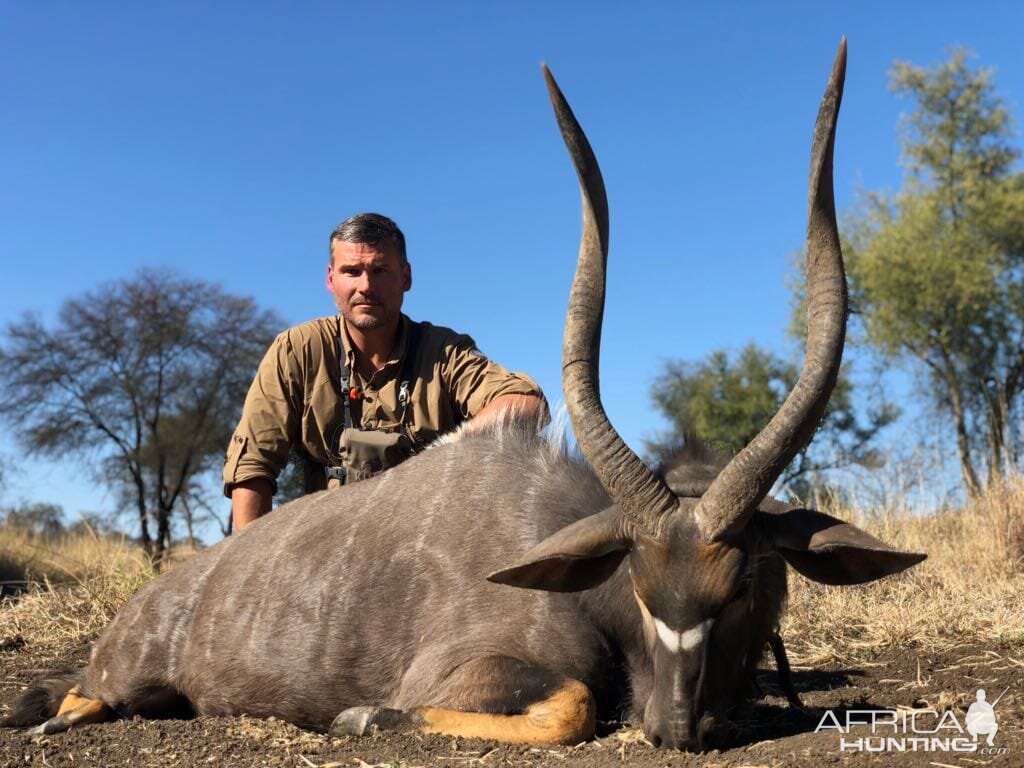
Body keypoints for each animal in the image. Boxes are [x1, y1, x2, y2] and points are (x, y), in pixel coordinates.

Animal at [0, 40, 925, 753]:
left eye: (739, 587)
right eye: (637, 583)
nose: (674, 728)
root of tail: (158, 599)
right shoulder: (469, 667)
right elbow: (573, 704)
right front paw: (363, 717)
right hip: (126, 677)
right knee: (85, 696)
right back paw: (47, 716)